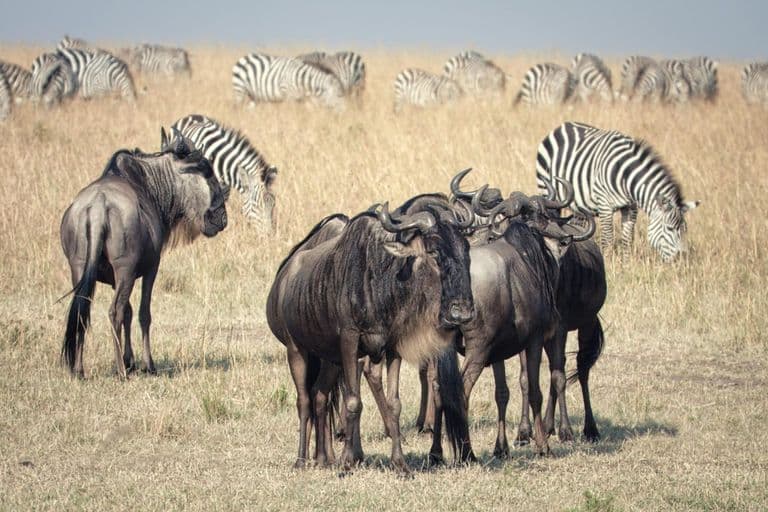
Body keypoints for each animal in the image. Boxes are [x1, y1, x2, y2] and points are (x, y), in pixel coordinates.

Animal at [535, 121, 699, 262]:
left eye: (685, 229)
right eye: (670, 228)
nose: (682, 259)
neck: (625, 177)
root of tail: (564, 125)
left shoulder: (631, 207)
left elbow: (627, 238)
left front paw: (626, 265)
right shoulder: (605, 205)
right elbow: (608, 239)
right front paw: (608, 262)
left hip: (579, 207)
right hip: (547, 189)